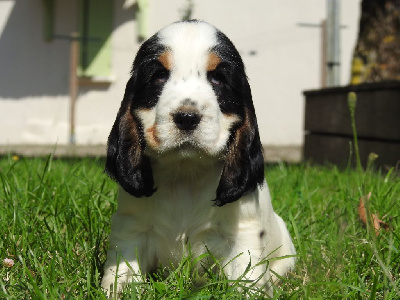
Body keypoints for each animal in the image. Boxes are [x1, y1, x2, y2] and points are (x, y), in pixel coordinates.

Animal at [101, 20, 296, 296]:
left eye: (218, 78)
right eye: (158, 76)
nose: (187, 117)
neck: (186, 172)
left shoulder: (241, 236)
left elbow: (247, 280)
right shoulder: (131, 229)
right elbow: (121, 274)